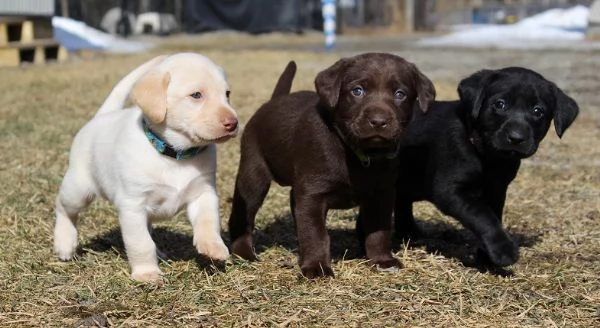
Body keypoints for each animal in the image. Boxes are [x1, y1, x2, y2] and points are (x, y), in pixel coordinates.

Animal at [53, 52, 237, 280]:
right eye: (196, 95)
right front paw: (146, 273)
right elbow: (141, 243)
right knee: (63, 208)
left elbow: (208, 222)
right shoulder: (133, 206)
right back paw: (64, 243)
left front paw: (214, 247)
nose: (233, 123)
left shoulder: (203, 193)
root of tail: (101, 117)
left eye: (227, 94)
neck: (174, 155)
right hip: (78, 190)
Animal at [392, 66, 580, 266]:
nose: (516, 137)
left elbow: (493, 216)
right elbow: (482, 216)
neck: (488, 156)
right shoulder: (450, 191)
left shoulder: (496, 190)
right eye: (500, 104)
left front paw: (486, 256)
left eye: (538, 111)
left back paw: (410, 233)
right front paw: (502, 249)